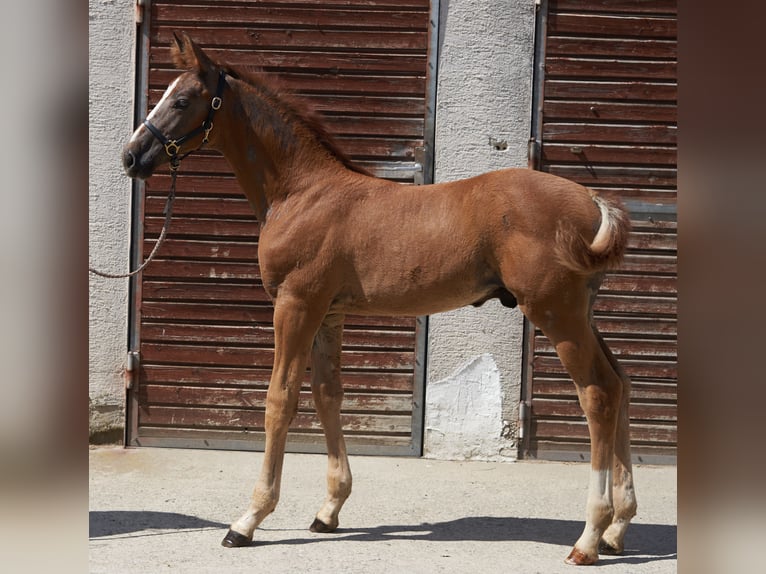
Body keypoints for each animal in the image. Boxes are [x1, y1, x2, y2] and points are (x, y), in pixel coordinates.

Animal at [122, 32, 636, 566]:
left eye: (182, 101)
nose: (131, 156)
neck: (301, 192)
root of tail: (592, 201)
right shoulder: (329, 314)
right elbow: (327, 394)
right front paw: (329, 510)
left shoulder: (296, 304)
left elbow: (280, 400)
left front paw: (247, 520)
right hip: (581, 313)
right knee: (620, 383)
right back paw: (617, 528)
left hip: (555, 312)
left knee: (598, 393)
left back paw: (589, 537)